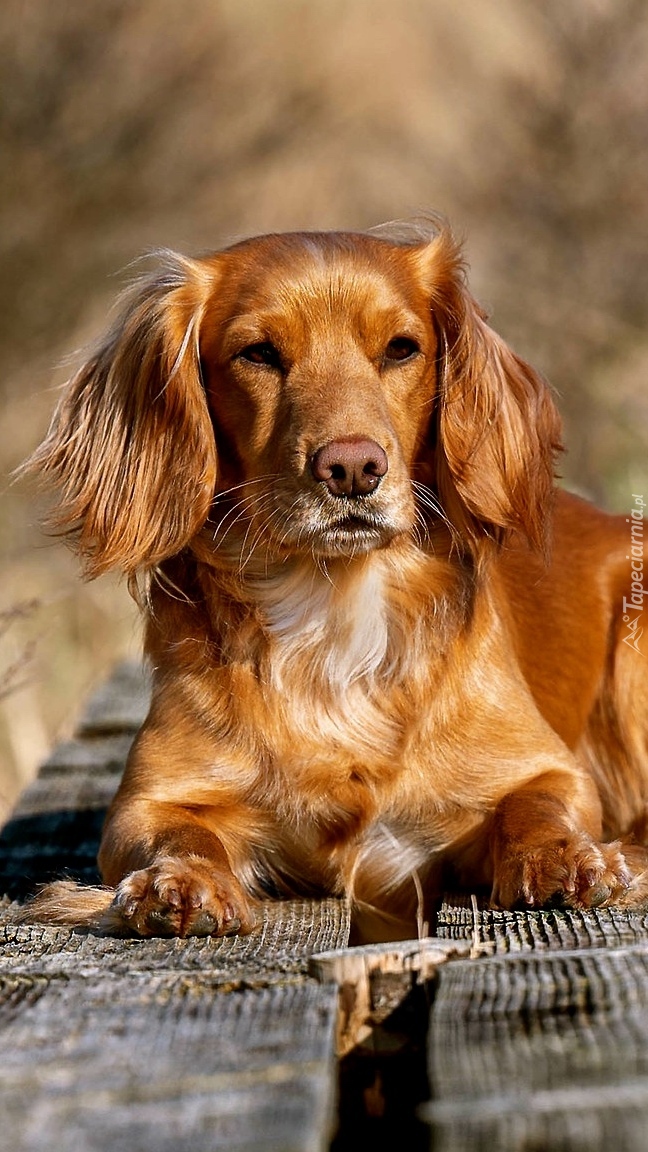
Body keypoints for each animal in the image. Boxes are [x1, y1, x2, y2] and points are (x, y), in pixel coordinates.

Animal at [21, 220, 645, 940]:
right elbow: (179, 833)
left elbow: (537, 807)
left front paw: (565, 857)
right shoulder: (146, 803)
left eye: (401, 349)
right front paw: (181, 881)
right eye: (259, 354)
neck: (335, 605)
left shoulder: (546, 768)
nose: (352, 467)